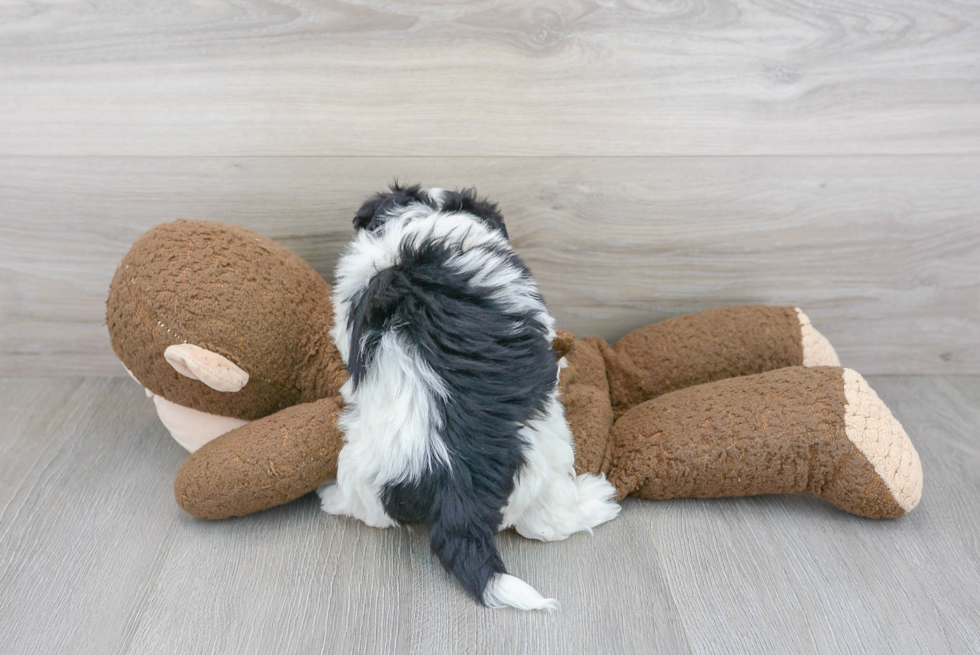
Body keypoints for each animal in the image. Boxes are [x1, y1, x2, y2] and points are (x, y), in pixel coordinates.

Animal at [322, 183, 624, 608]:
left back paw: (331, 498)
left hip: (363, 464)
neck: (423, 218)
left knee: (370, 511)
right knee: (548, 522)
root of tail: (452, 483)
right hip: (547, 452)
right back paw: (596, 499)